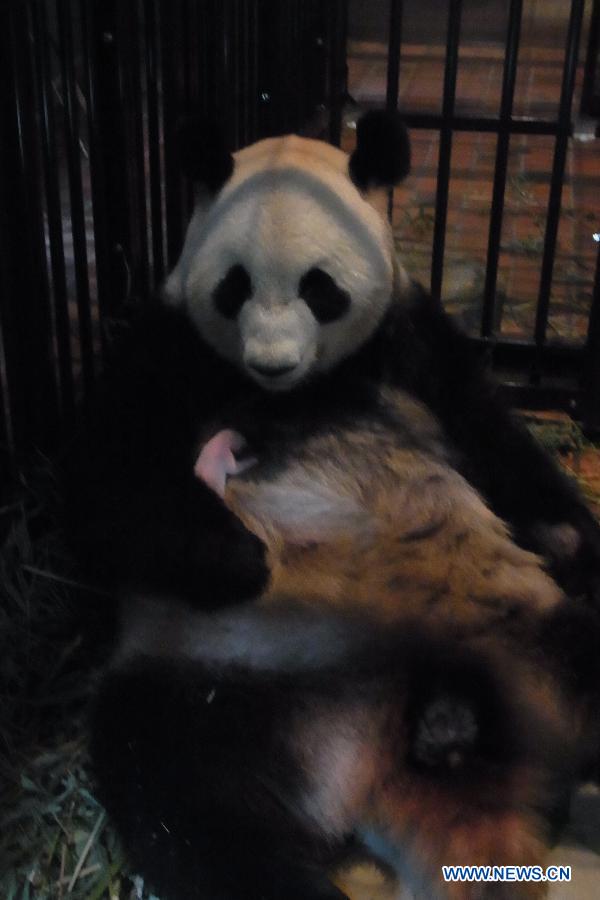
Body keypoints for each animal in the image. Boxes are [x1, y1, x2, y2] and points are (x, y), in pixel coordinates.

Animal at [63, 110, 600, 892]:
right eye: (234, 286)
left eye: (321, 288)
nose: (272, 363)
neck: (300, 392)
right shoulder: (169, 349)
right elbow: (108, 484)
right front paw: (242, 557)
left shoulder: (410, 337)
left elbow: (488, 428)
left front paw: (570, 541)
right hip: (220, 680)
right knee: (188, 803)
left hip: (521, 629)